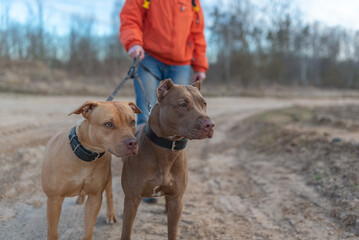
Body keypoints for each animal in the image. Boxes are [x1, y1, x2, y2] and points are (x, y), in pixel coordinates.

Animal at [42, 100, 142, 239]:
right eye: (108, 124)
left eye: (132, 122)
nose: (133, 143)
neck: (85, 158)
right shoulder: (54, 200)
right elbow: (52, 232)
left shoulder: (94, 198)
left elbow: (88, 230)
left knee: (109, 194)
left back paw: (110, 215)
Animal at [121, 79, 217, 240]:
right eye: (182, 104)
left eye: (204, 103)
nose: (209, 124)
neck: (167, 148)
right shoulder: (132, 199)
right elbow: (126, 232)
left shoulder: (176, 200)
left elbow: (172, 230)